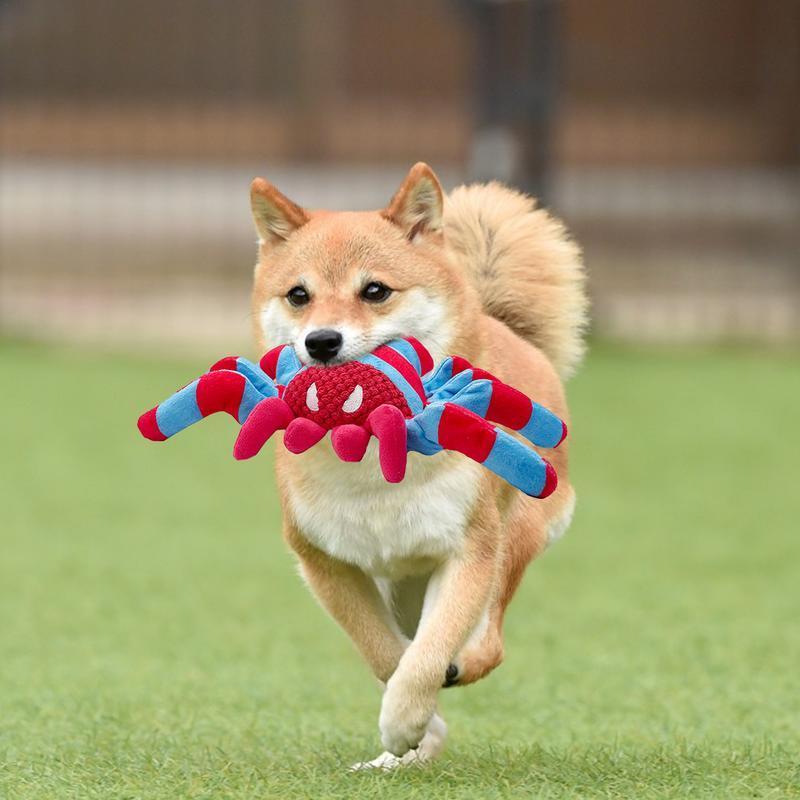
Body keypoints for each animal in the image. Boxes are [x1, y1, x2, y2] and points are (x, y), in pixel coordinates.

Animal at [248, 162, 588, 768]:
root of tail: (505, 328)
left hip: (513, 537)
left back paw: (460, 669)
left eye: (375, 290)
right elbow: (386, 654)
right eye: (298, 295)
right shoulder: (324, 561)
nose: (321, 341)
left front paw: (406, 719)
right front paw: (415, 730)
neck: (372, 456)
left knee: (489, 643)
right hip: (402, 586)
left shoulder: (469, 551)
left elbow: (428, 653)